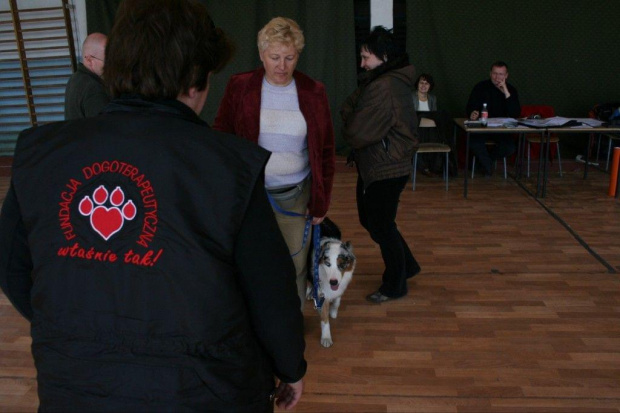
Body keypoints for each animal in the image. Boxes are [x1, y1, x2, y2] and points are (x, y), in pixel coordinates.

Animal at [306, 217, 356, 346]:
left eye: (341, 265)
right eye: (327, 264)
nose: (333, 282)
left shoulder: (340, 285)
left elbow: (337, 299)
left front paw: (333, 311)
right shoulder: (322, 290)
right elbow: (324, 318)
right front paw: (326, 338)